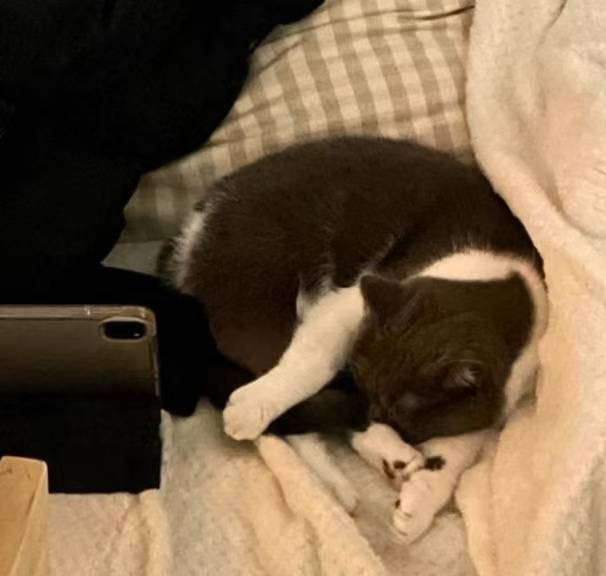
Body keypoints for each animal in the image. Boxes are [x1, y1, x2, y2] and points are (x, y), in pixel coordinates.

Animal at [160, 136, 548, 542]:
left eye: (394, 410)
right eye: (371, 392)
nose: (370, 411)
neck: (499, 276)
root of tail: (182, 241)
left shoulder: (493, 400)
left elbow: (458, 447)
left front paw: (420, 503)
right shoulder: (346, 305)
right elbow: (309, 364)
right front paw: (253, 406)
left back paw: (381, 463)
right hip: (253, 300)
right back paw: (334, 480)